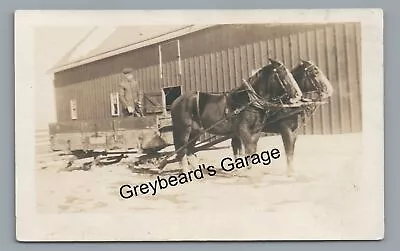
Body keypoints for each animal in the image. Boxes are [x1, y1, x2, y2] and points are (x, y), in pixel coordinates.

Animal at [170, 59, 304, 172]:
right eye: (283, 74)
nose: (298, 95)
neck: (248, 101)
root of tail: (176, 102)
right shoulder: (243, 130)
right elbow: (249, 150)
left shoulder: (256, 131)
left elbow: (252, 150)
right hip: (183, 131)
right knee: (182, 152)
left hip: (195, 133)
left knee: (189, 151)